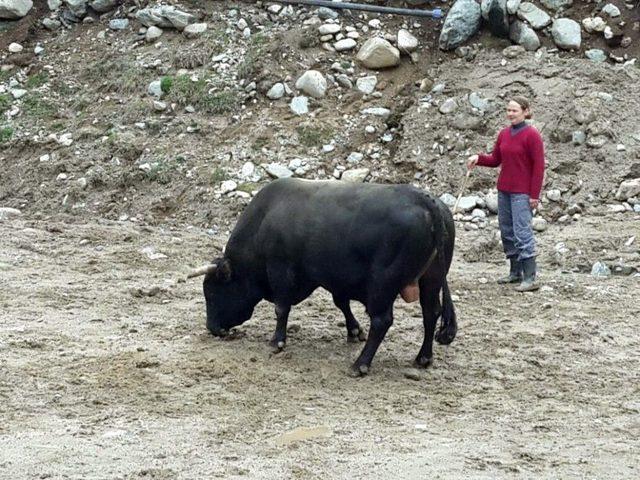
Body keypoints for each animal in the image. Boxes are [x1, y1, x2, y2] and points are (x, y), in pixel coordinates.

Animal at [189, 178, 456, 376]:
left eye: (212, 292)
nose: (212, 328)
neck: (264, 221)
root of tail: (425, 200)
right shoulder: (334, 278)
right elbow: (341, 303)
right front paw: (354, 331)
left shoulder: (281, 271)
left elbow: (281, 308)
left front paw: (277, 341)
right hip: (431, 279)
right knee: (431, 313)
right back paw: (423, 358)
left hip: (382, 286)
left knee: (382, 321)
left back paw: (360, 364)